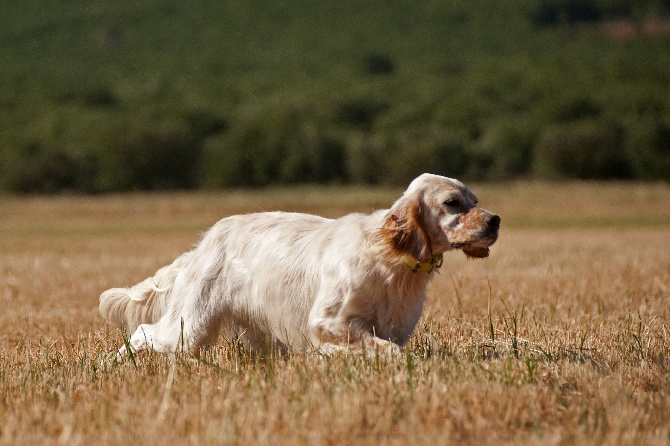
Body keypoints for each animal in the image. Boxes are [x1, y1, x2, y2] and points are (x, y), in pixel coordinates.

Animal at [98, 172, 498, 358]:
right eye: (452, 202)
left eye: (475, 200)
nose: (495, 220)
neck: (390, 259)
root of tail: (206, 242)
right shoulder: (327, 322)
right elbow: (387, 350)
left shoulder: (394, 326)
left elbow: (387, 346)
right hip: (189, 329)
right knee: (142, 332)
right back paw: (113, 365)